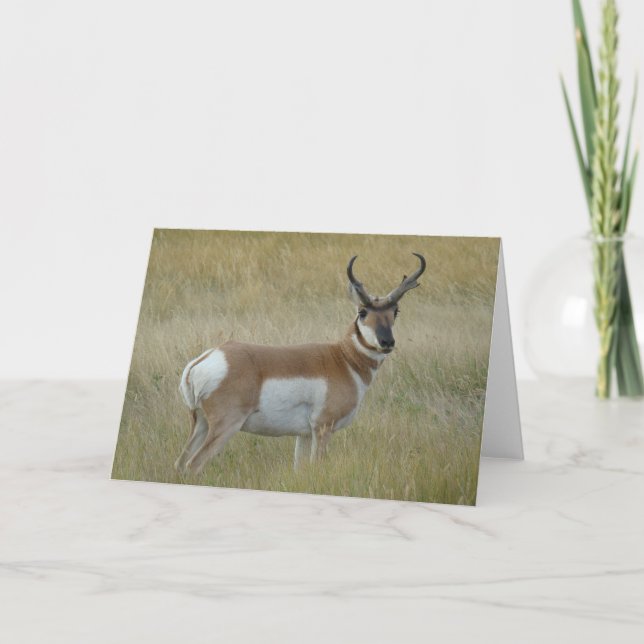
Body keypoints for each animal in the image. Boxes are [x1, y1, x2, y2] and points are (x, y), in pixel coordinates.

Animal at [175, 253, 426, 474]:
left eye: (395, 310)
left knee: (180, 463)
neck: (343, 359)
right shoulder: (323, 428)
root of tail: (205, 359)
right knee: (193, 464)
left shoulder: (303, 434)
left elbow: (300, 469)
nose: (387, 342)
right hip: (226, 425)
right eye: (362, 311)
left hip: (201, 423)